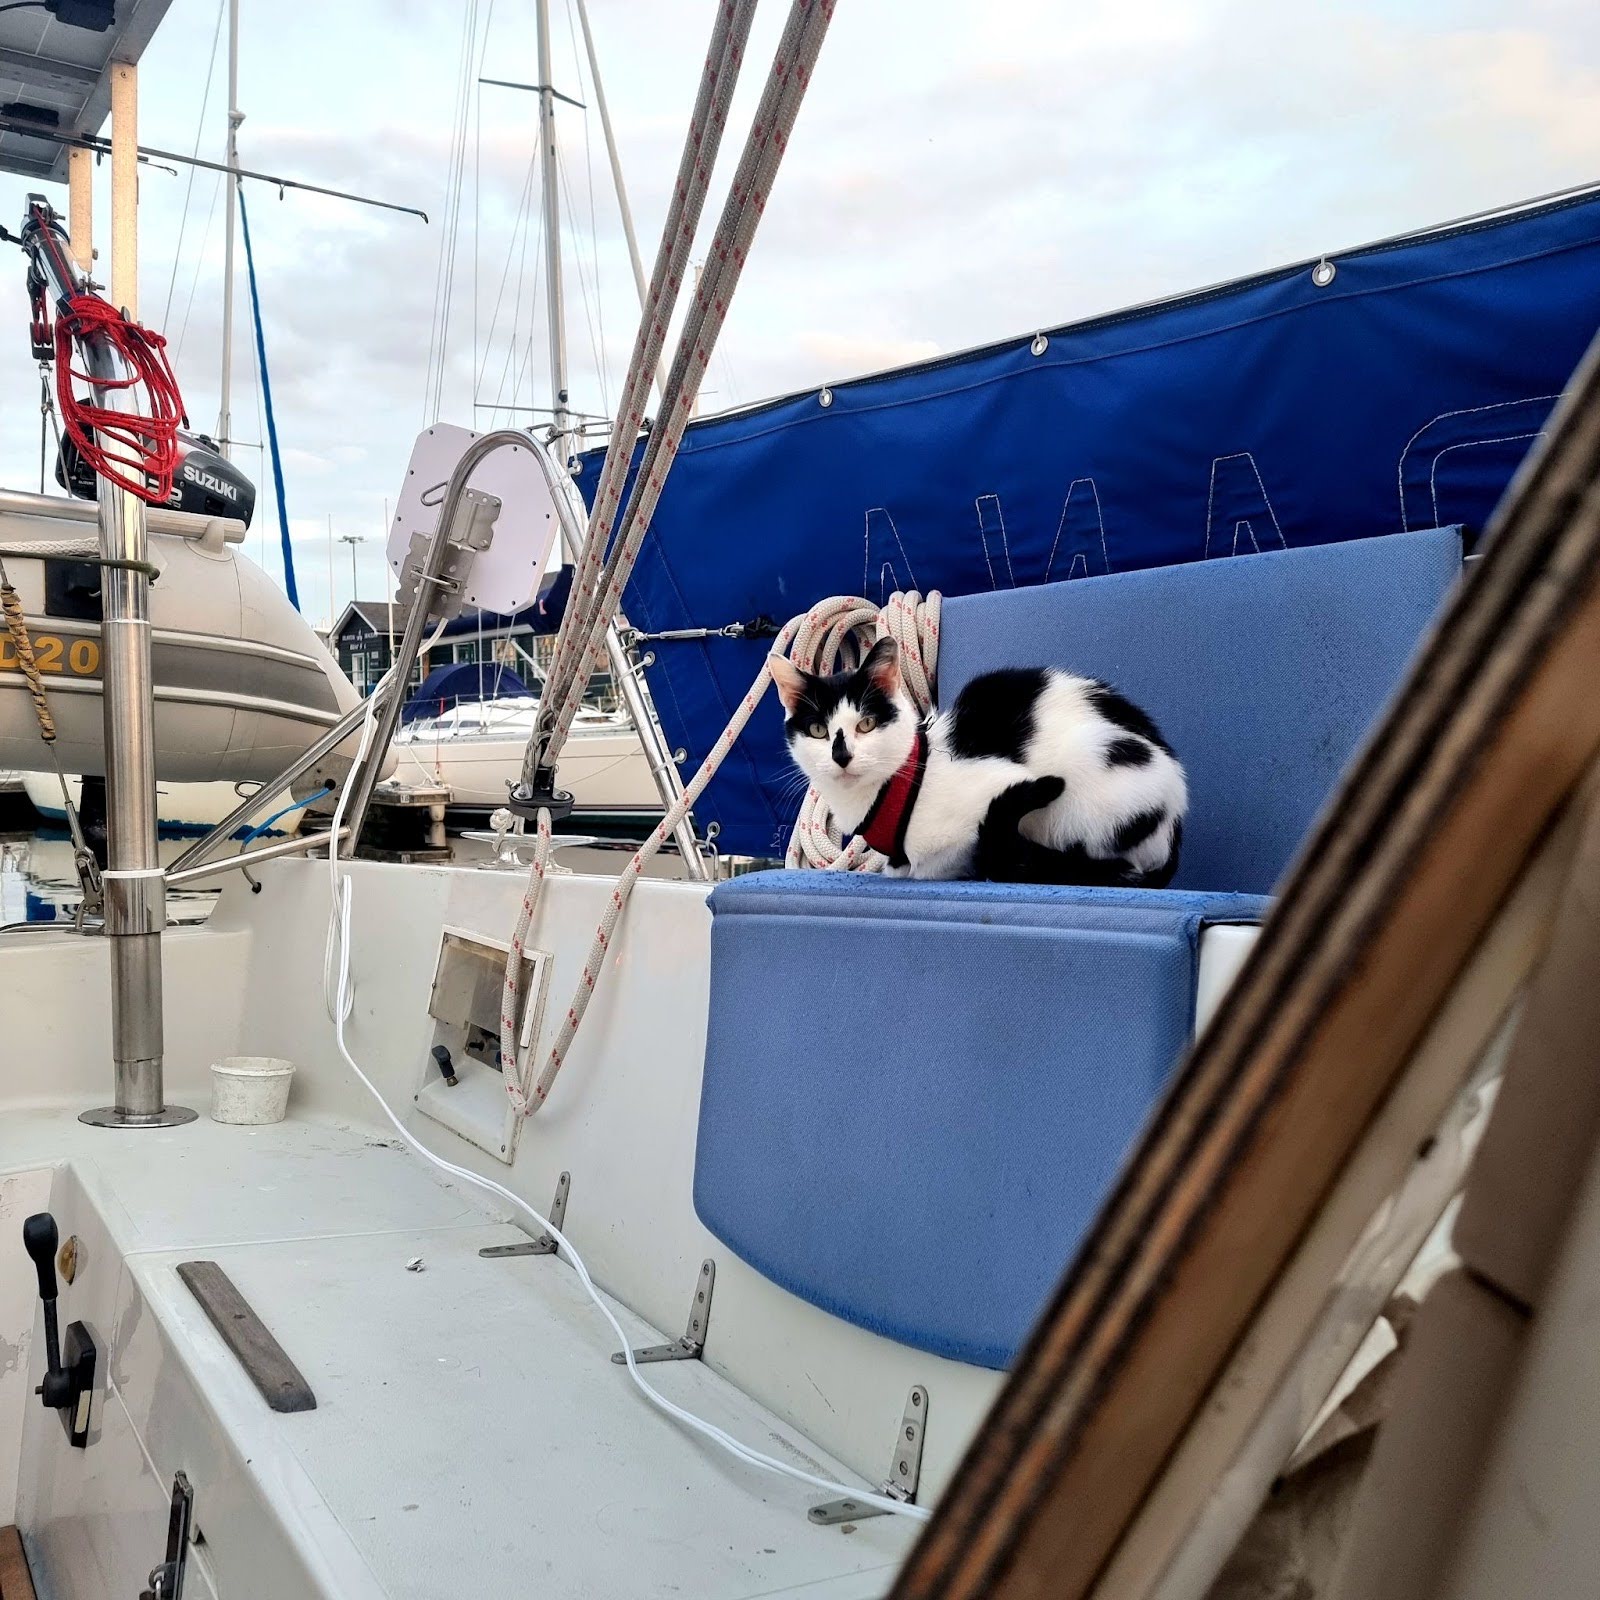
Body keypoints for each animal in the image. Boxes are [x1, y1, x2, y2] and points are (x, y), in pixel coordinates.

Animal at [768, 636, 1196, 889]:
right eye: (818, 730)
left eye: (866, 724)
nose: (842, 756)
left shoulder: (992, 790)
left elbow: (939, 860)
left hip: (1091, 774)